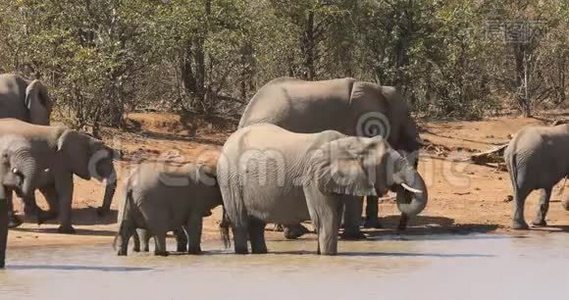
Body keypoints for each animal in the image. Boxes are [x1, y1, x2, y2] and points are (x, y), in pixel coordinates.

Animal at [217, 123, 426, 254]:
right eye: (385, 162)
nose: (399, 188)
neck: (350, 141)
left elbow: (332, 216)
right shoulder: (313, 177)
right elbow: (326, 219)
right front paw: (327, 257)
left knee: (256, 225)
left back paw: (260, 254)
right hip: (229, 179)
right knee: (241, 222)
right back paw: (242, 254)